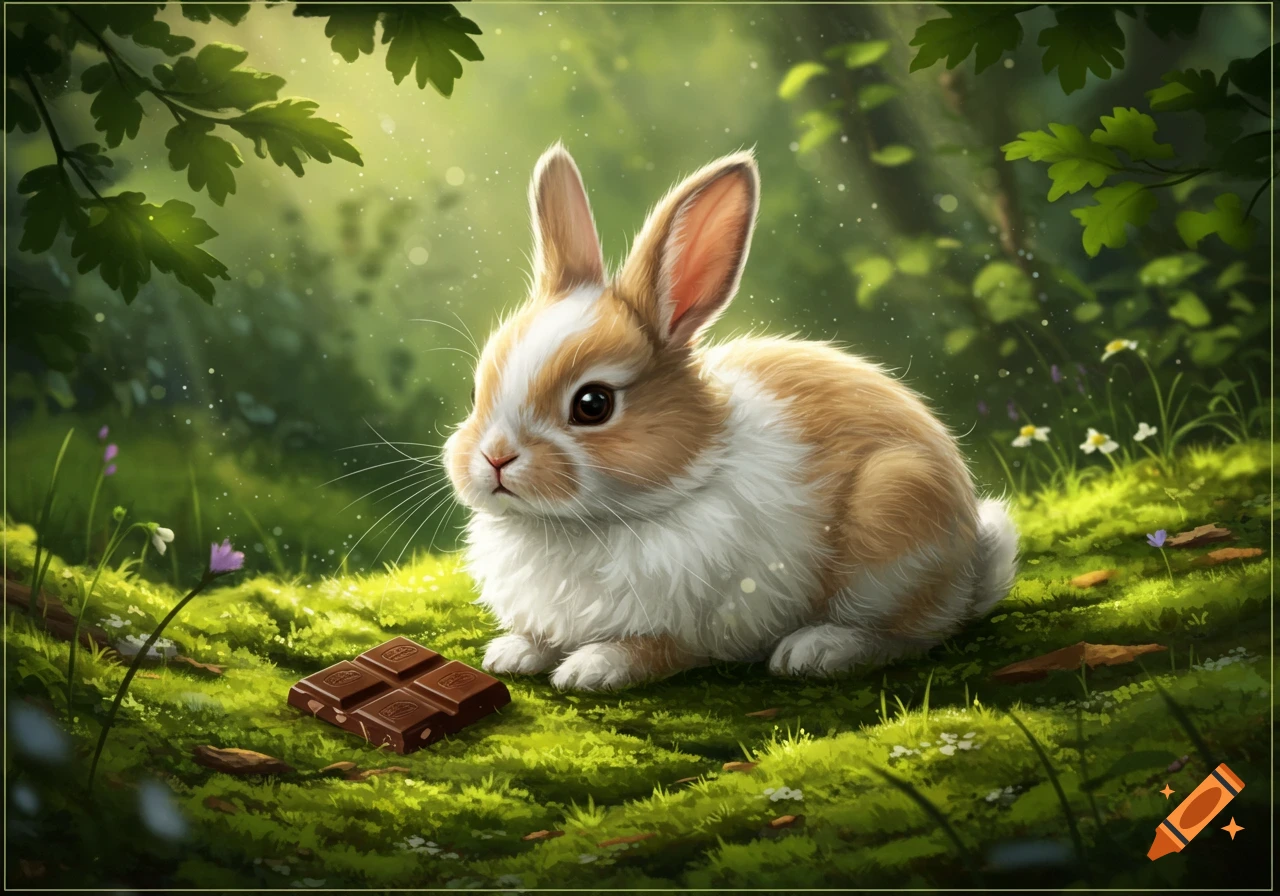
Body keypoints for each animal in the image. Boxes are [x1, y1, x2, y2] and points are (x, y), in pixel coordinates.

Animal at [442, 142, 1019, 692]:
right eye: (474, 389)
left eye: (593, 404)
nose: (495, 458)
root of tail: (971, 566)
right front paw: (512, 654)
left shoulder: (694, 625)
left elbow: (654, 649)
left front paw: (593, 668)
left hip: (895, 519)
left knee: (911, 634)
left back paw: (818, 649)